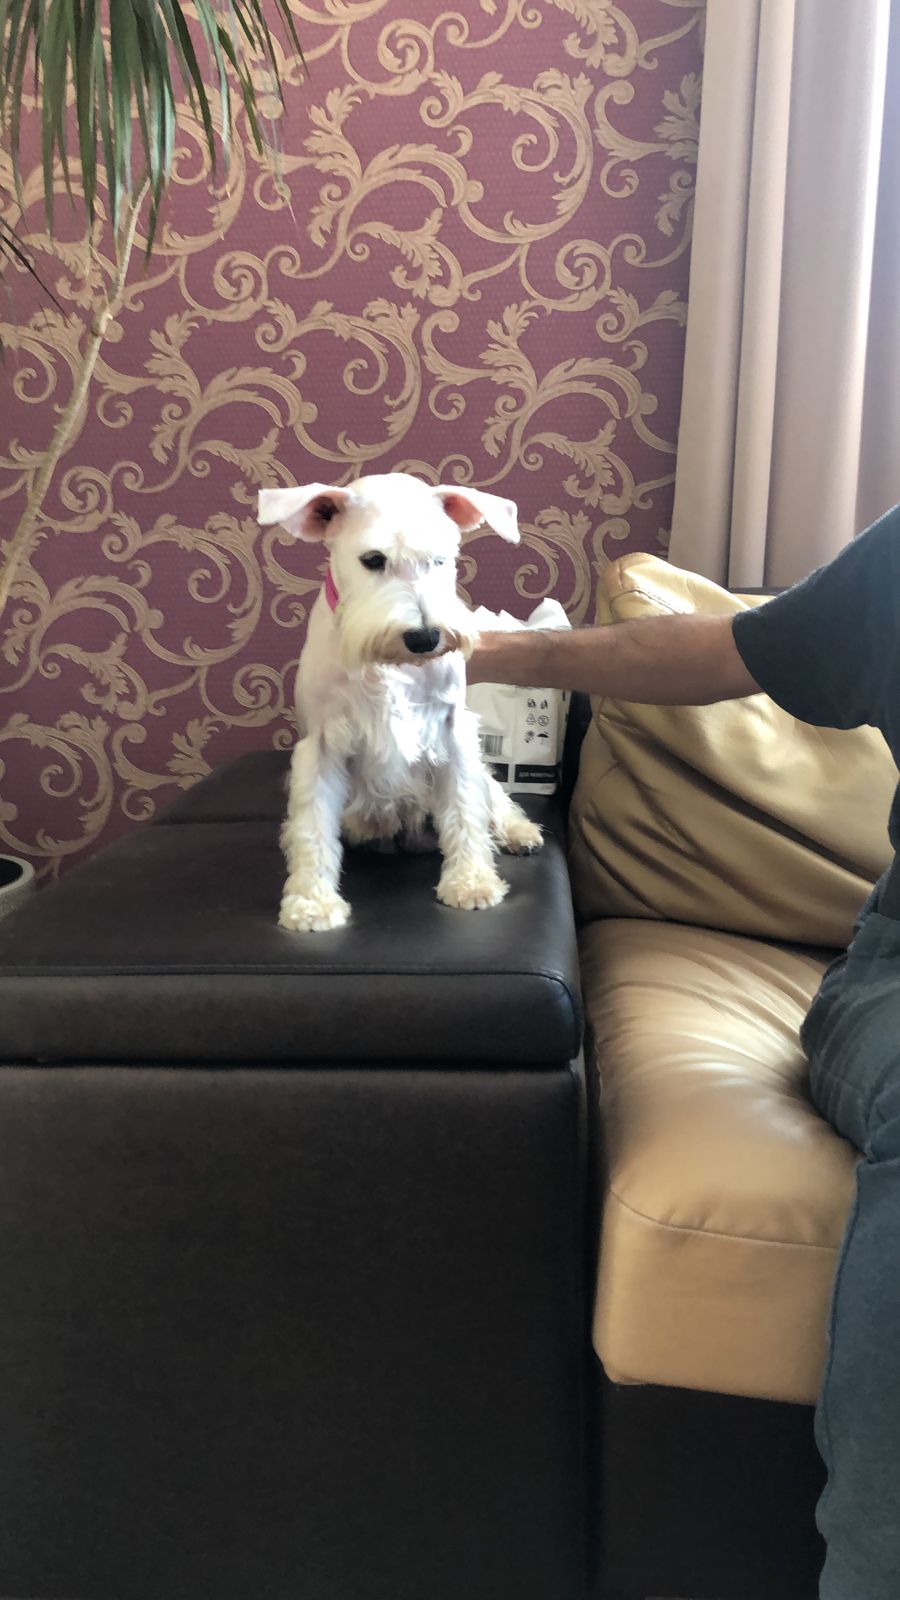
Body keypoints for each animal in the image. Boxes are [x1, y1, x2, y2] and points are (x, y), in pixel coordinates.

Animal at [257, 472, 543, 932]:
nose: (425, 637)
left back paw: (519, 832)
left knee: (493, 794)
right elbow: (311, 826)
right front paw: (311, 903)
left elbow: (466, 807)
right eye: (373, 559)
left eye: (441, 559)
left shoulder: (452, 731)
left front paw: (471, 882)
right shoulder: (321, 745)